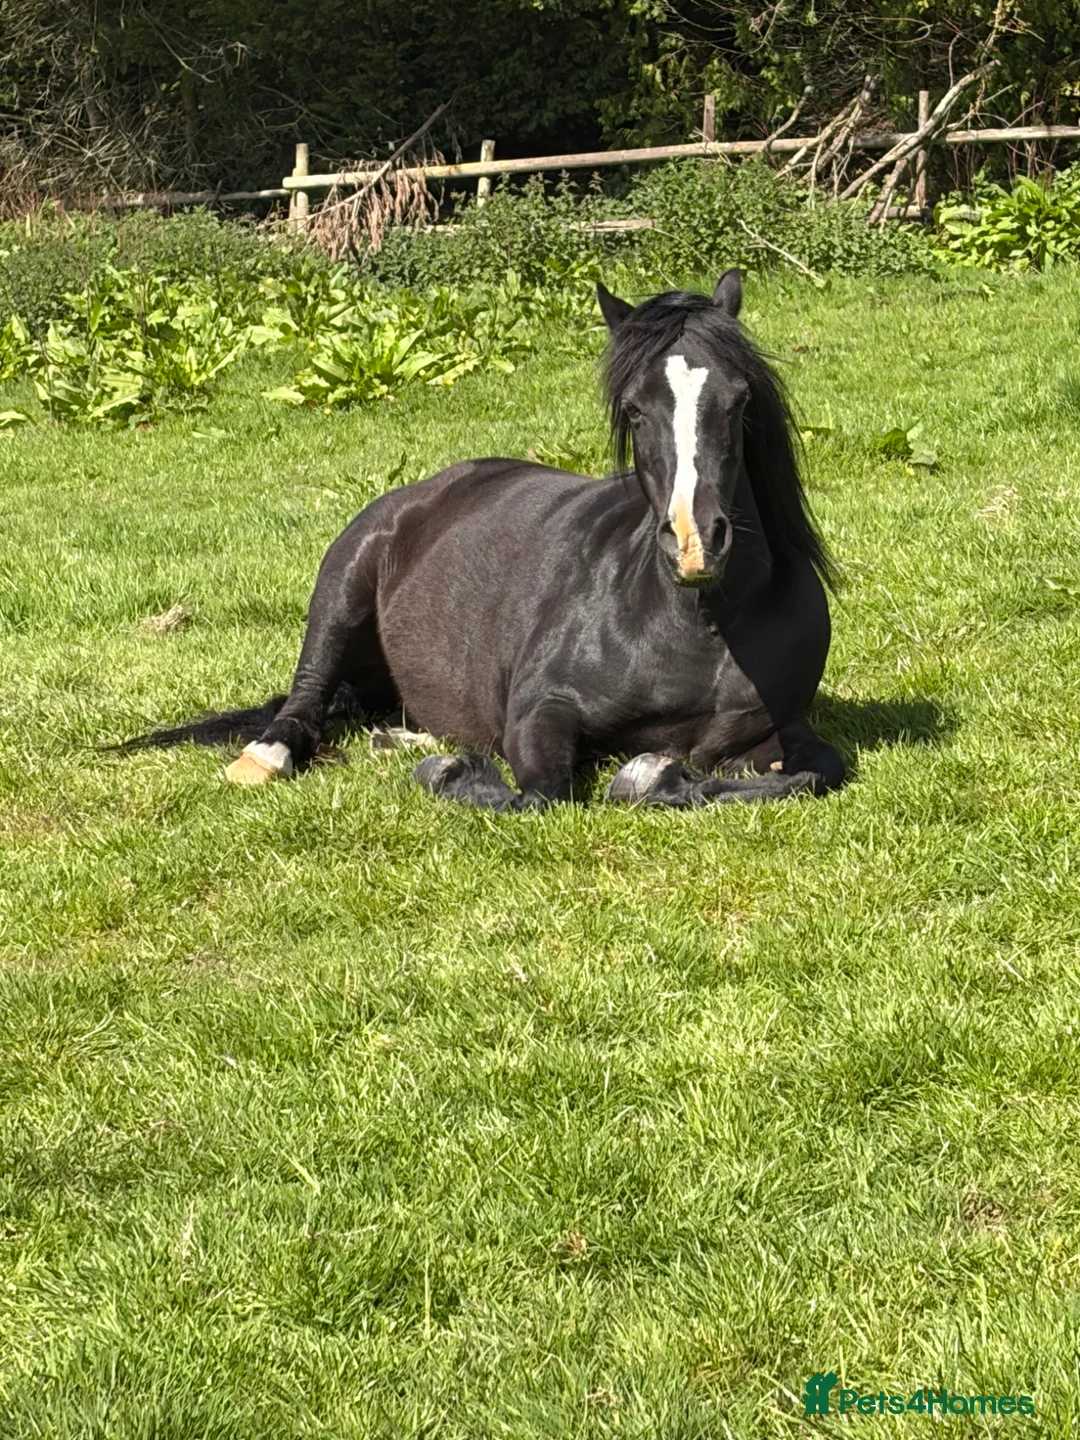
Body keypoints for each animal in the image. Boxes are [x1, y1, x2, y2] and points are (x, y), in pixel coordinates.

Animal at [125, 270, 845, 810]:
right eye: (636, 410)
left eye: (738, 401)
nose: (695, 543)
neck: (700, 625)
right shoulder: (537, 711)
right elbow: (541, 794)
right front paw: (451, 773)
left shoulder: (782, 733)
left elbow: (813, 773)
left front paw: (653, 773)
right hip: (342, 587)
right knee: (305, 697)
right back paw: (271, 756)